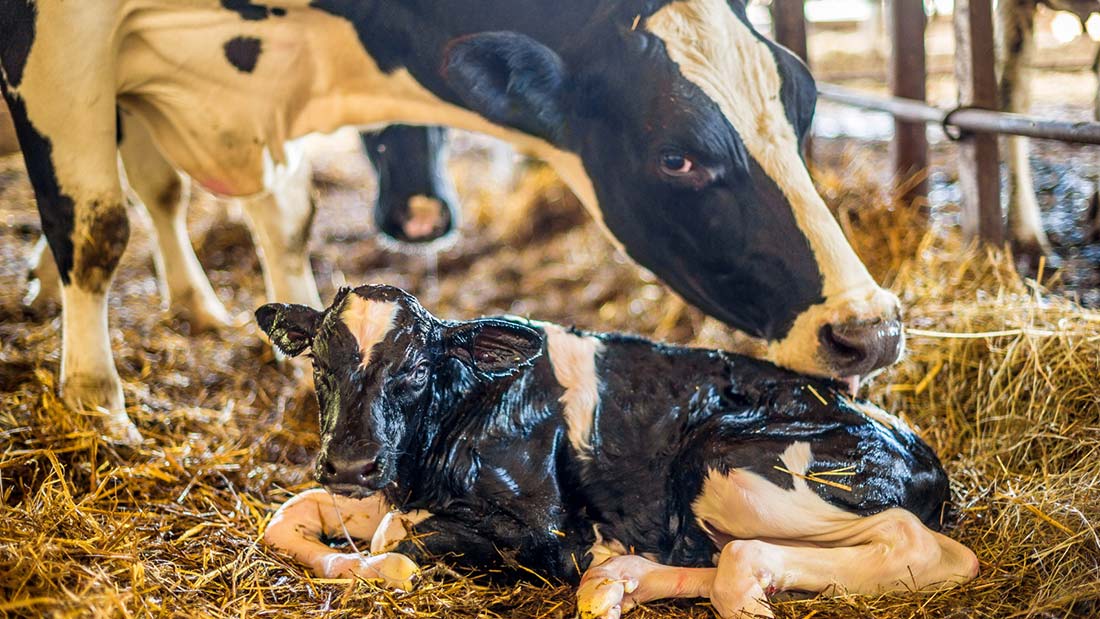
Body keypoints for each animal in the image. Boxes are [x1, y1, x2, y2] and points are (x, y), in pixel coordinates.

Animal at [0, 1, 902, 446]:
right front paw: (95, 403)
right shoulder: (64, 39)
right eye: (675, 156)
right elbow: (97, 224)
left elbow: (283, 215)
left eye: (806, 101)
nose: (872, 330)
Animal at [257, 285, 981, 619]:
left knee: (918, 546)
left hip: (724, 463)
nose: (351, 463)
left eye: (412, 370)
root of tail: (921, 452)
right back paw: (623, 579)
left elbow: (390, 540)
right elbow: (290, 514)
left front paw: (389, 567)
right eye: (319, 364)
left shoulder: (548, 531)